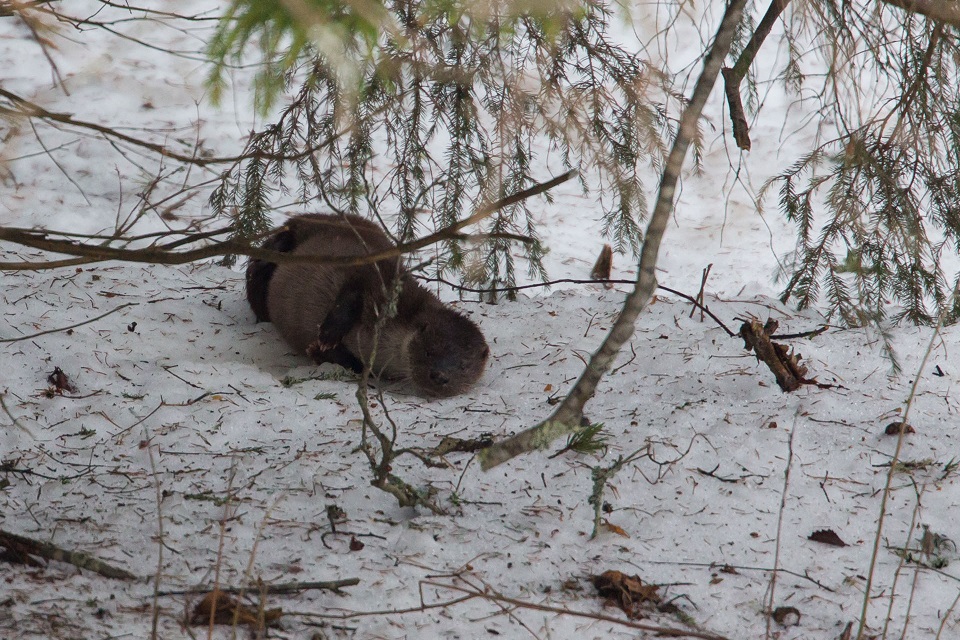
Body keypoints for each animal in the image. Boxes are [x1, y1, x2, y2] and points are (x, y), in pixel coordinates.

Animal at [244, 214, 492, 396]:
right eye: (429, 351)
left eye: (463, 365)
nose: (440, 376)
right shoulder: (377, 278)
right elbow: (350, 296)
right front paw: (327, 336)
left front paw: (320, 351)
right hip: (317, 227)